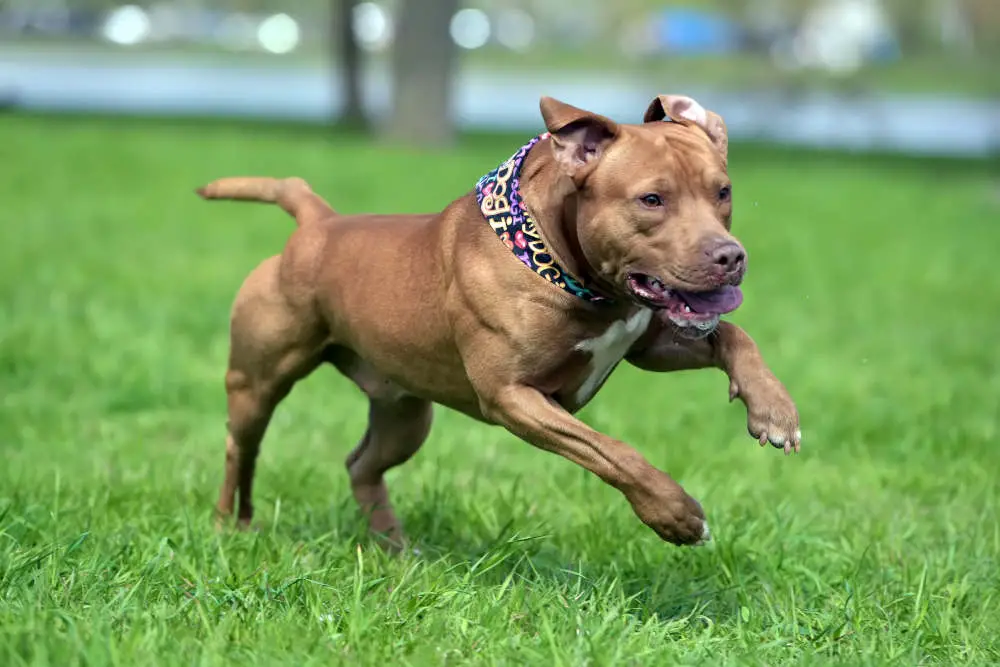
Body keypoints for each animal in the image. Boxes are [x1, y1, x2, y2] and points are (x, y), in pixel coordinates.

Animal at [199, 96, 800, 552]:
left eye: (722, 191)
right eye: (652, 199)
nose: (730, 256)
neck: (563, 263)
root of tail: (318, 222)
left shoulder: (649, 344)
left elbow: (732, 335)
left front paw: (774, 411)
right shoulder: (514, 396)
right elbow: (613, 451)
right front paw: (676, 515)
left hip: (404, 412)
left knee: (362, 465)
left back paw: (396, 550)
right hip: (257, 383)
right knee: (239, 448)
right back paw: (232, 527)